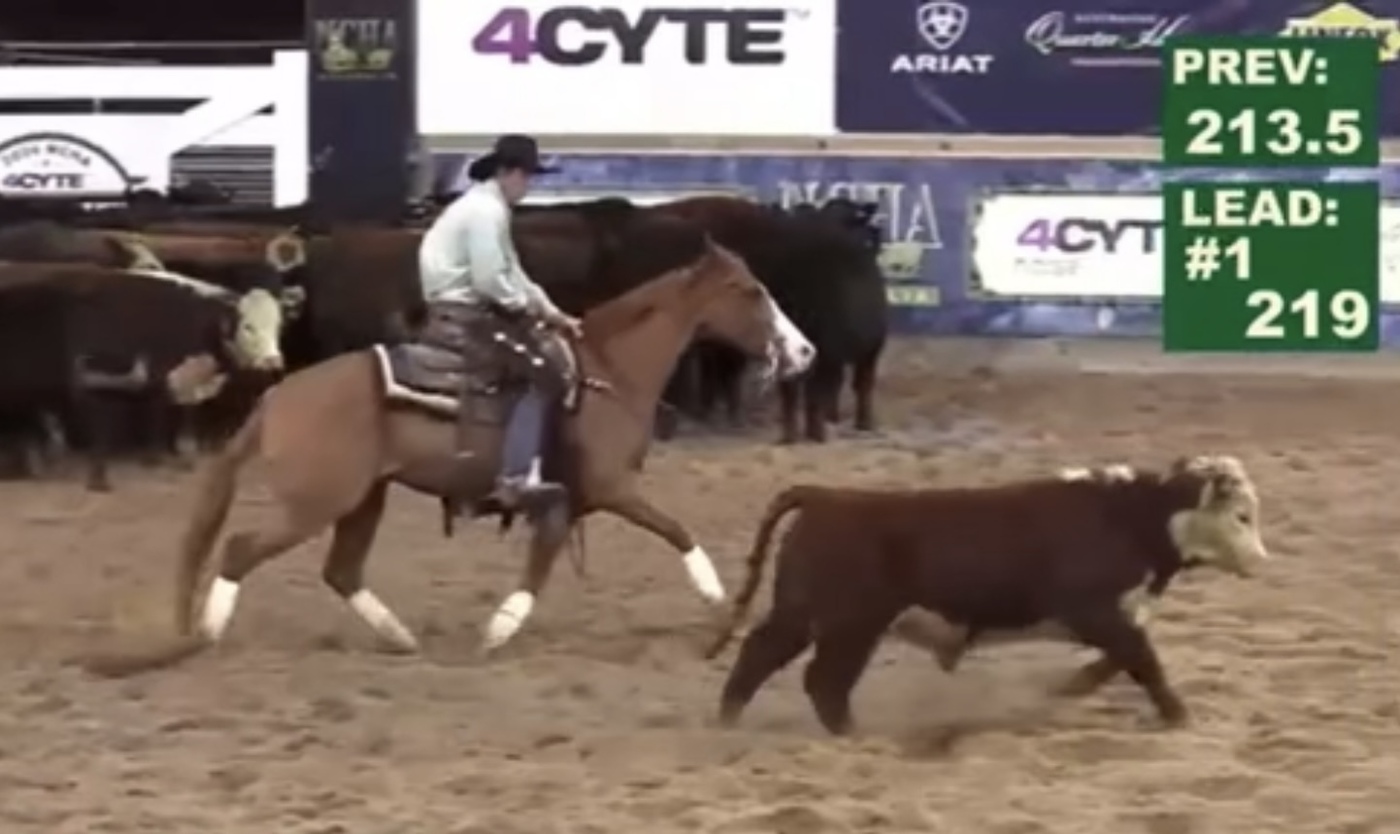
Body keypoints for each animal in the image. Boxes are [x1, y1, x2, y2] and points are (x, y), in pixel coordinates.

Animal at [82, 240, 814, 676]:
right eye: (751, 292)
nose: (803, 351)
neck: (608, 372)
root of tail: (279, 395)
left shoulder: (567, 499)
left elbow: (549, 554)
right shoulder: (608, 487)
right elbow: (674, 531)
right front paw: (718, 600)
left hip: (365, 497)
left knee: (341, 570)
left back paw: (399, 637)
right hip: (319, 500)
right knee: (239, 548)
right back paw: (203, 635)